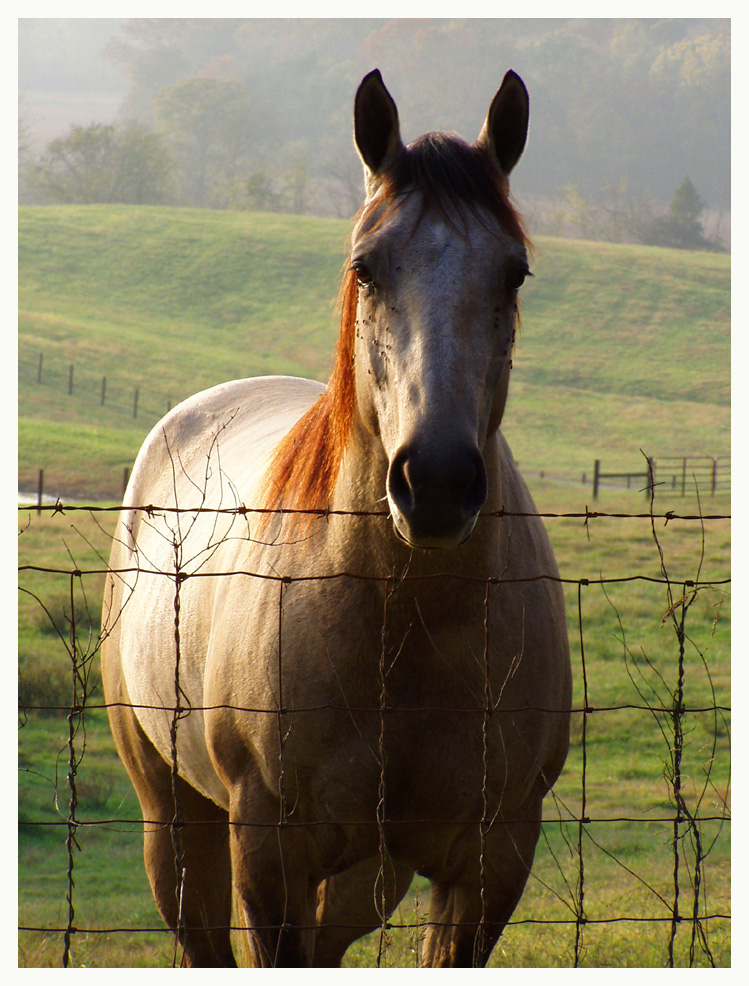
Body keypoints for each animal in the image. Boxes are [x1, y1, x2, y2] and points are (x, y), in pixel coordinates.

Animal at [101, 71, 572, 968]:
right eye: (366, 267)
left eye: (515, 274)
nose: (436, 481)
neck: (404, 622)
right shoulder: (269, 856)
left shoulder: (489, 862)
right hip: (175, 825)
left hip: (367, 875)